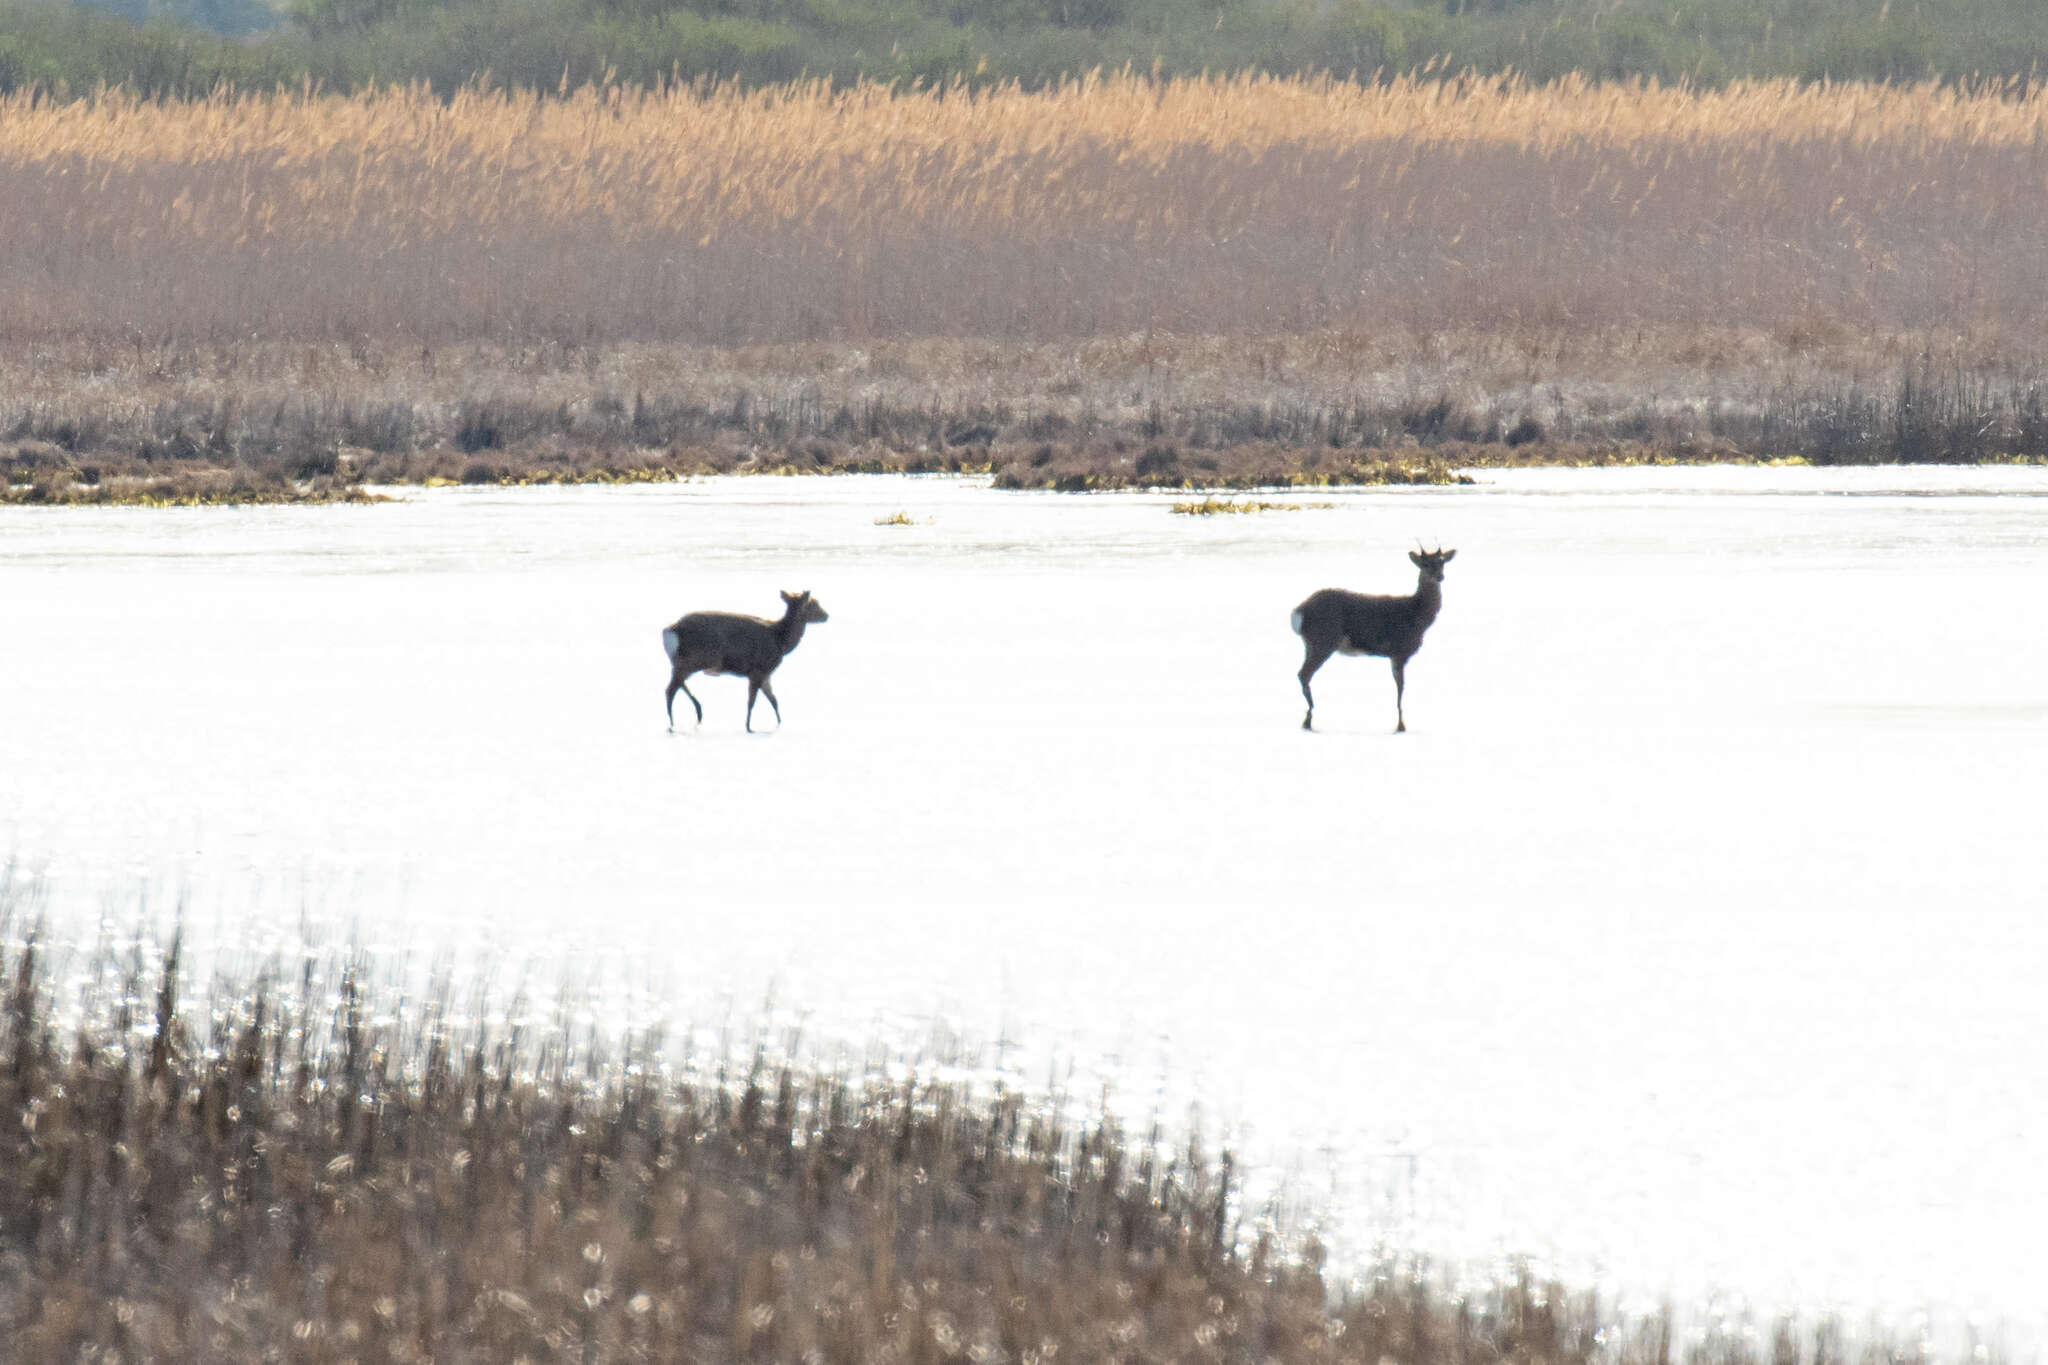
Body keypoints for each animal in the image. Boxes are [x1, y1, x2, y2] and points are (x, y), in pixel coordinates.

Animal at [659, 589, 827, 732]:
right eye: (814, 604)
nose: (826, 616)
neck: (780, 641)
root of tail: (670, 630)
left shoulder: (765, 673)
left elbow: (774, 700)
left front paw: (779, 723)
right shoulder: (758, 669)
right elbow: (752, 701)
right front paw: (749, 727)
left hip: (684, 661)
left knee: (678, 684)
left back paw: (698, 712)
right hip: (693, 658)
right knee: (671, 688)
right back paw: (674, 723)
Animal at [1294, 548, 1458, 732]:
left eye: (1442, 562)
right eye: (1425, 564)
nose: (1439, 576)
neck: (1417, 615)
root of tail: (1299, 611)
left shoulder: (1394, 654)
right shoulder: (1400, 650)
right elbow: (1401, 687)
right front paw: (1401, 724)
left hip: (1311, 643)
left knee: (1303, 673)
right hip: (1324, 639)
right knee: (1304, 673)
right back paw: (1309, 715)